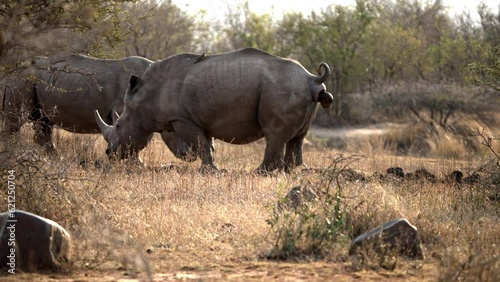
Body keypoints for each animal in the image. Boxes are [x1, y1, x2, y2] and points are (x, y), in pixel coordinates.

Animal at [1, 54, 195, 161]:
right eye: (174, 130)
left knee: (43, 122)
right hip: (22, 80)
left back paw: (57, 158)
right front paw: (137, 164)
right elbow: (133, 136)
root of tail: (10, 73)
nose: (190, 155)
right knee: (16, 123)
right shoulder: (126, 109)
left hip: (34, 81)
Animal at [95, 48, 334, 172]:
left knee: (274, 135)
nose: (109, 153)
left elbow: (200, 145)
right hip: (297, 89)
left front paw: (209, 172)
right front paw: (214, 169)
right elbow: (207, 145)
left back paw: (259, 173)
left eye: (118, 125)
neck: (145, 98)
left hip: (281, 88)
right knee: (298, 137)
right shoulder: (197, 119)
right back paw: (292, 171)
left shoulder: (182, 119)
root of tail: (312, 79)